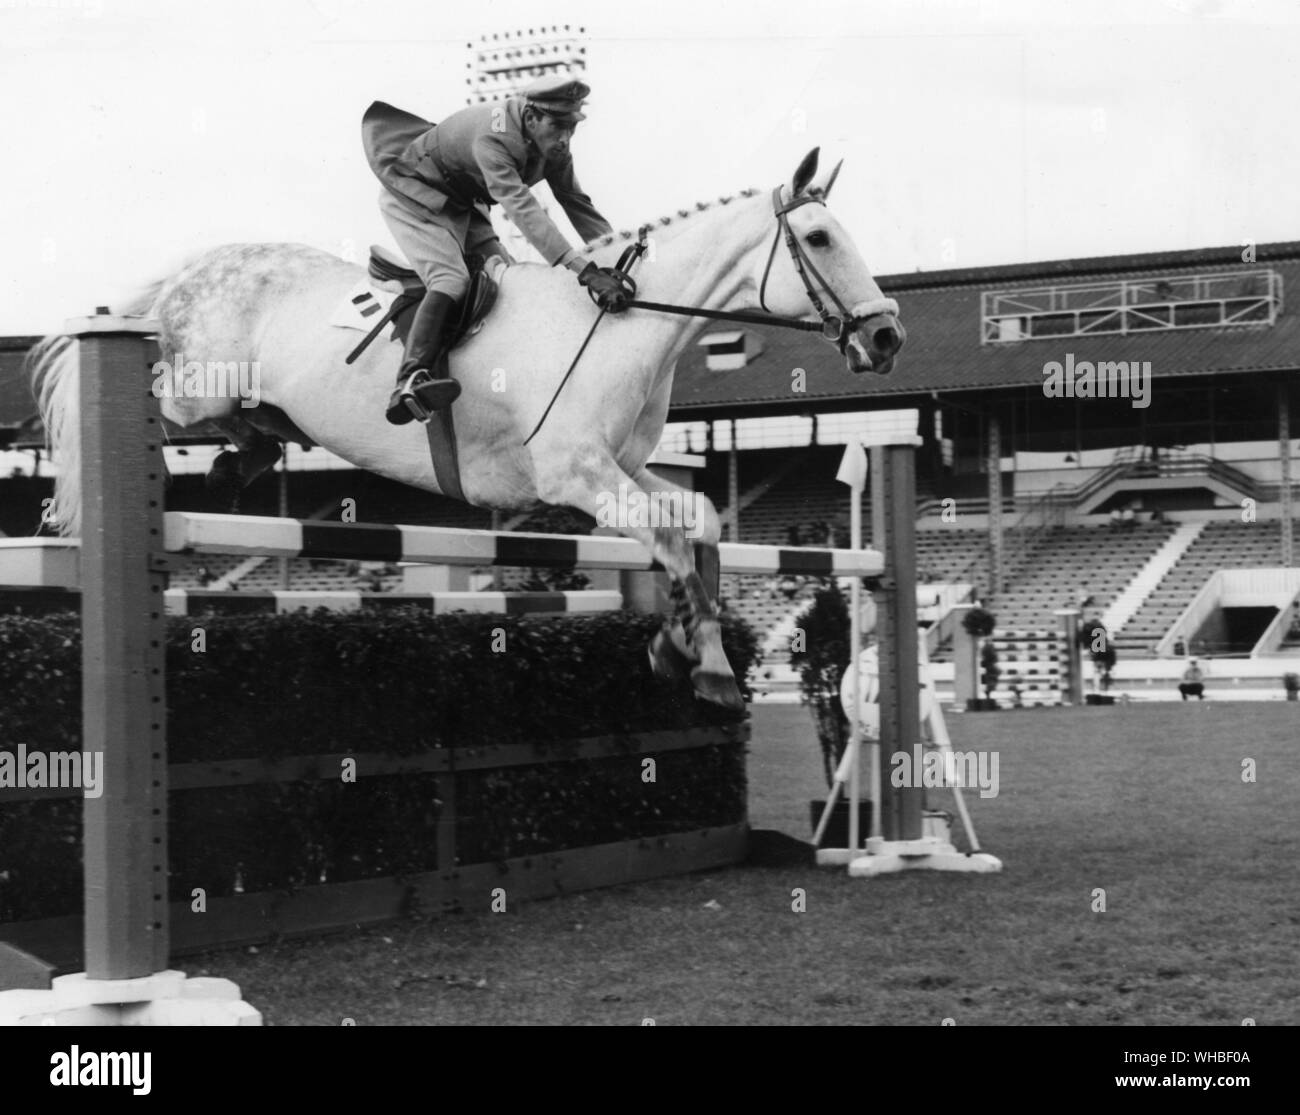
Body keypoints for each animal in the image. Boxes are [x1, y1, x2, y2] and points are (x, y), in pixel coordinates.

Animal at [32, 147, 904, 706]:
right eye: (820, 238)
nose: (888, 337)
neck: (621, 323)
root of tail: (192, 271)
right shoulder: (576, 475)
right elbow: (669, 539)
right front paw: (708, 663)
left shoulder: (621, 464)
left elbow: (699, 520)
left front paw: (682, 643)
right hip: (192, 387)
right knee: (159, 398)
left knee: (249, 427)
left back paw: (241, 459)